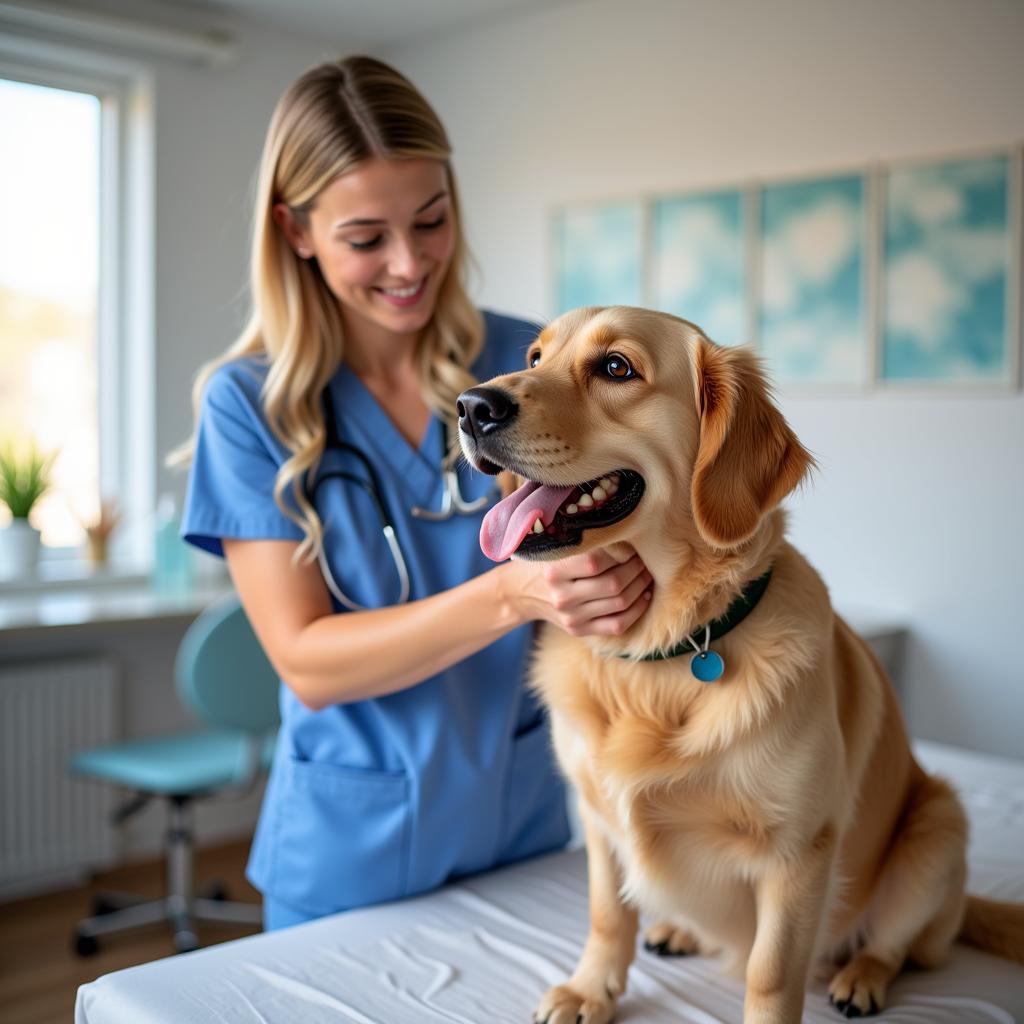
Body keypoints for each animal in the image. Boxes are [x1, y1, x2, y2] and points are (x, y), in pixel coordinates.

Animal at [458, 305, 1024, 1024]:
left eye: (616, 367)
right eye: (534, 357)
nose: (471, 407)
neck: (659, 653)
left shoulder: (797, 849)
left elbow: (771, 973)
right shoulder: (596, 814)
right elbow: (609, 916)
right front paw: (591, 990)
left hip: (938, 828)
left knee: (899, 945)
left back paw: (861, 975)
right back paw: (679, 929)